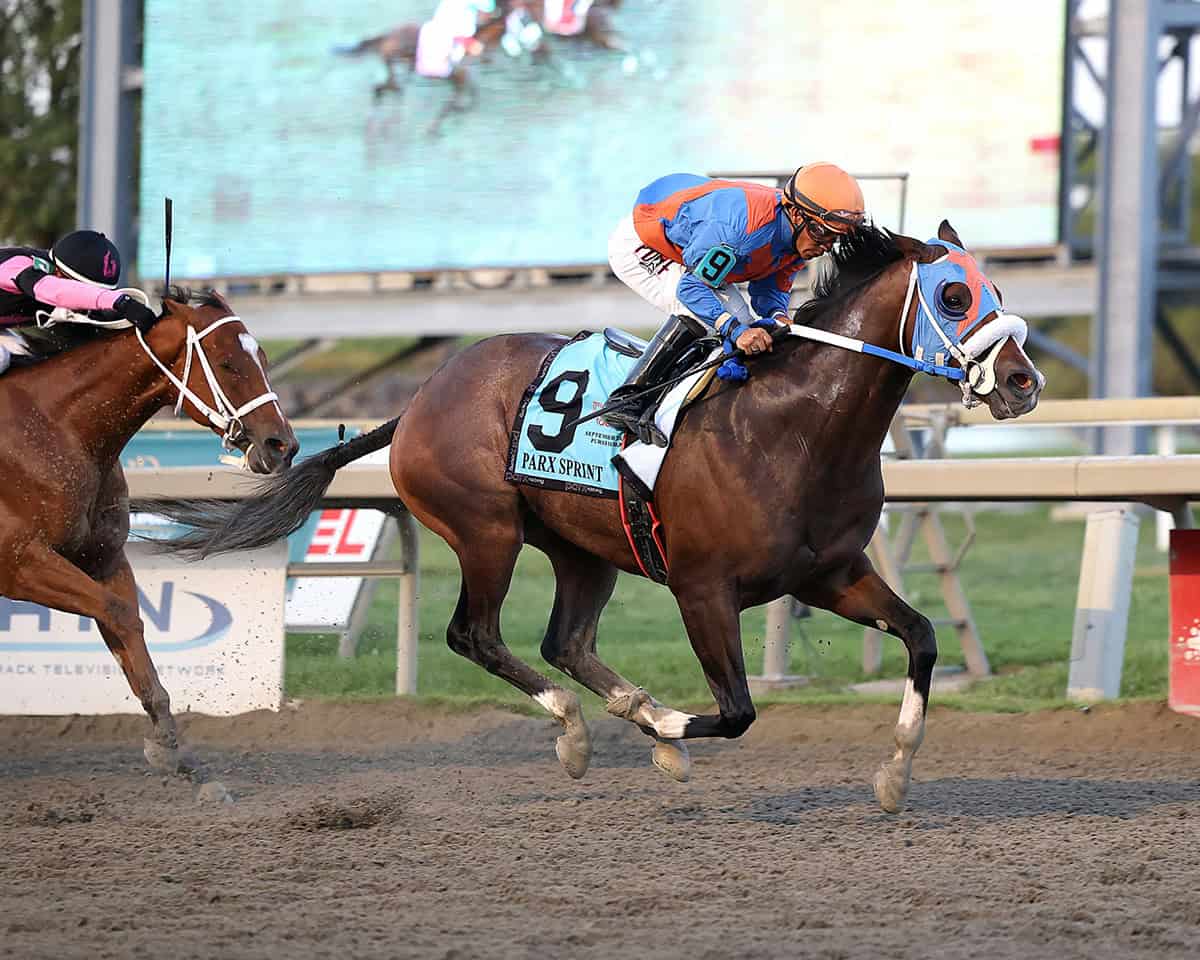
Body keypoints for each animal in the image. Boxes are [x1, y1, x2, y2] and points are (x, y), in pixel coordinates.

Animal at [0, 289, 298, 799]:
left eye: (261, 357)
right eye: (227, 363)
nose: (283, 445)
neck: (55, 427)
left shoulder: (104, 560)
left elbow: (128, 624)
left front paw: (175, 752)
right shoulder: (20, 562)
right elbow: (118, 613)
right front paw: (167, 747)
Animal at [141, 222, 1043, 814]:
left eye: (999, 291)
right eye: (955, 294)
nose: (1024, 382)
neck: (791, 427)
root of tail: (422, 397)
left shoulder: (830, 573)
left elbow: (921, 637)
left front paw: (895, 772)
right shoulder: (702, 589)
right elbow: (737, 711)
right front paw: (670, 732)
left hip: (584, 549)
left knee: (563, 642)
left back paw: (615, 712)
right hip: (488, 532)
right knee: (476, 634)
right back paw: (582, 730)